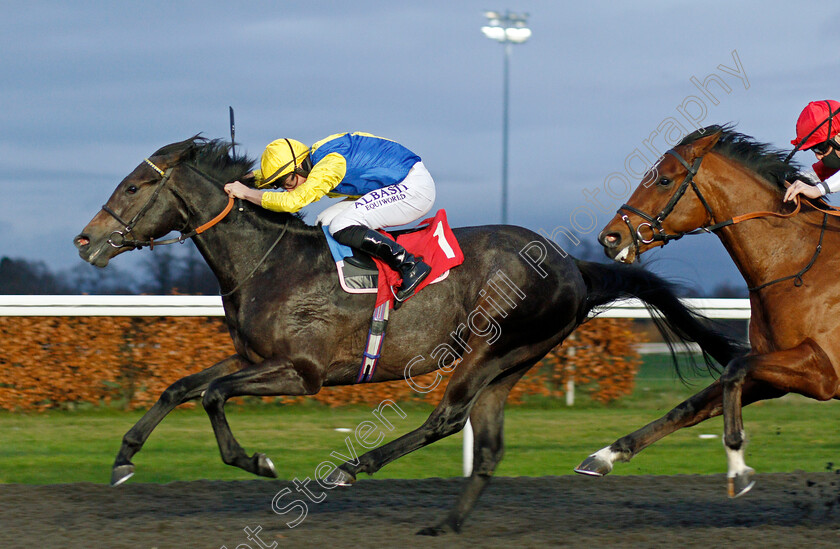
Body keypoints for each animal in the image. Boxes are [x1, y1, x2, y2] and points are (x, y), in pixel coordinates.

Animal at [74, 135, 740, 532]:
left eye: (133, 186)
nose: (84, 240)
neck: (267, 262)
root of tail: (571, 264)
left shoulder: (302, 373)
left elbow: (212, 395)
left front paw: (256, 460)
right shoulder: (251, 357)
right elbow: (179, 387)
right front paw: (124, 459)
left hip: (490, 348)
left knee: (446, 419)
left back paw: (354, 468)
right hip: (513, 361)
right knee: (487, 445)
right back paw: (447, 524)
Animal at [576, 124, 840, 496]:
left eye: (664, 180)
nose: (610, 238)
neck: (797, 262)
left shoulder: (823, 371)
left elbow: (733, 371)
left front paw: (738, 465)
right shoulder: (778, 372)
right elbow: (689, 406)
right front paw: (605, 455)